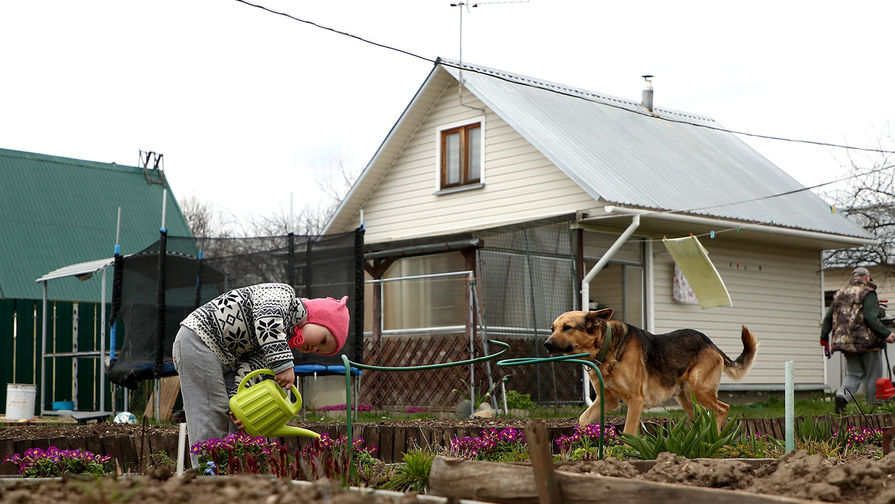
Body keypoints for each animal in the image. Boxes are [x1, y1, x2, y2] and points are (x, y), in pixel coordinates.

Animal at [544, 308, 756, 434]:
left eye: (568, 328)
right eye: (552, 328)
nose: (546, 344)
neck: (606, 348)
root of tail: (710, 342)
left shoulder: (635, 400)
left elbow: (628, 431)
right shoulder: (608, 400)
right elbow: (583, 419)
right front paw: (581, 441)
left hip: (699, 390)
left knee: (723, 408)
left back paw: (715, 437)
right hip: (687, 398)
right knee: (703, 416)